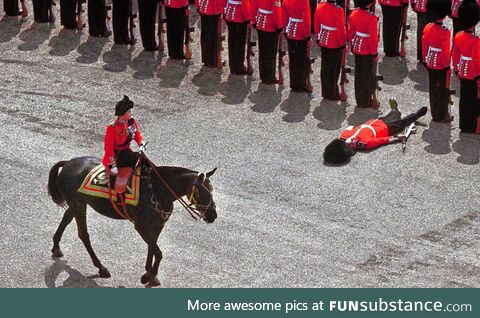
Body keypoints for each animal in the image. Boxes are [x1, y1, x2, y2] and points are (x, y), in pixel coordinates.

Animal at [47, 156, 218, 286]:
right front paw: (149, 276)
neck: (156, 189)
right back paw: (101, 267)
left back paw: (56, 247)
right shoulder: (141, 226)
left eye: (212, 190)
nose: (213, 216)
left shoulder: (157, 225)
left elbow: (153, 248)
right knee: (83, 234)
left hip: (77, 204)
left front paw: (149, 272)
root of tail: (68, 162)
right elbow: (158, 252)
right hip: (79, 205)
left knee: (66, 219)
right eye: (203, 192)